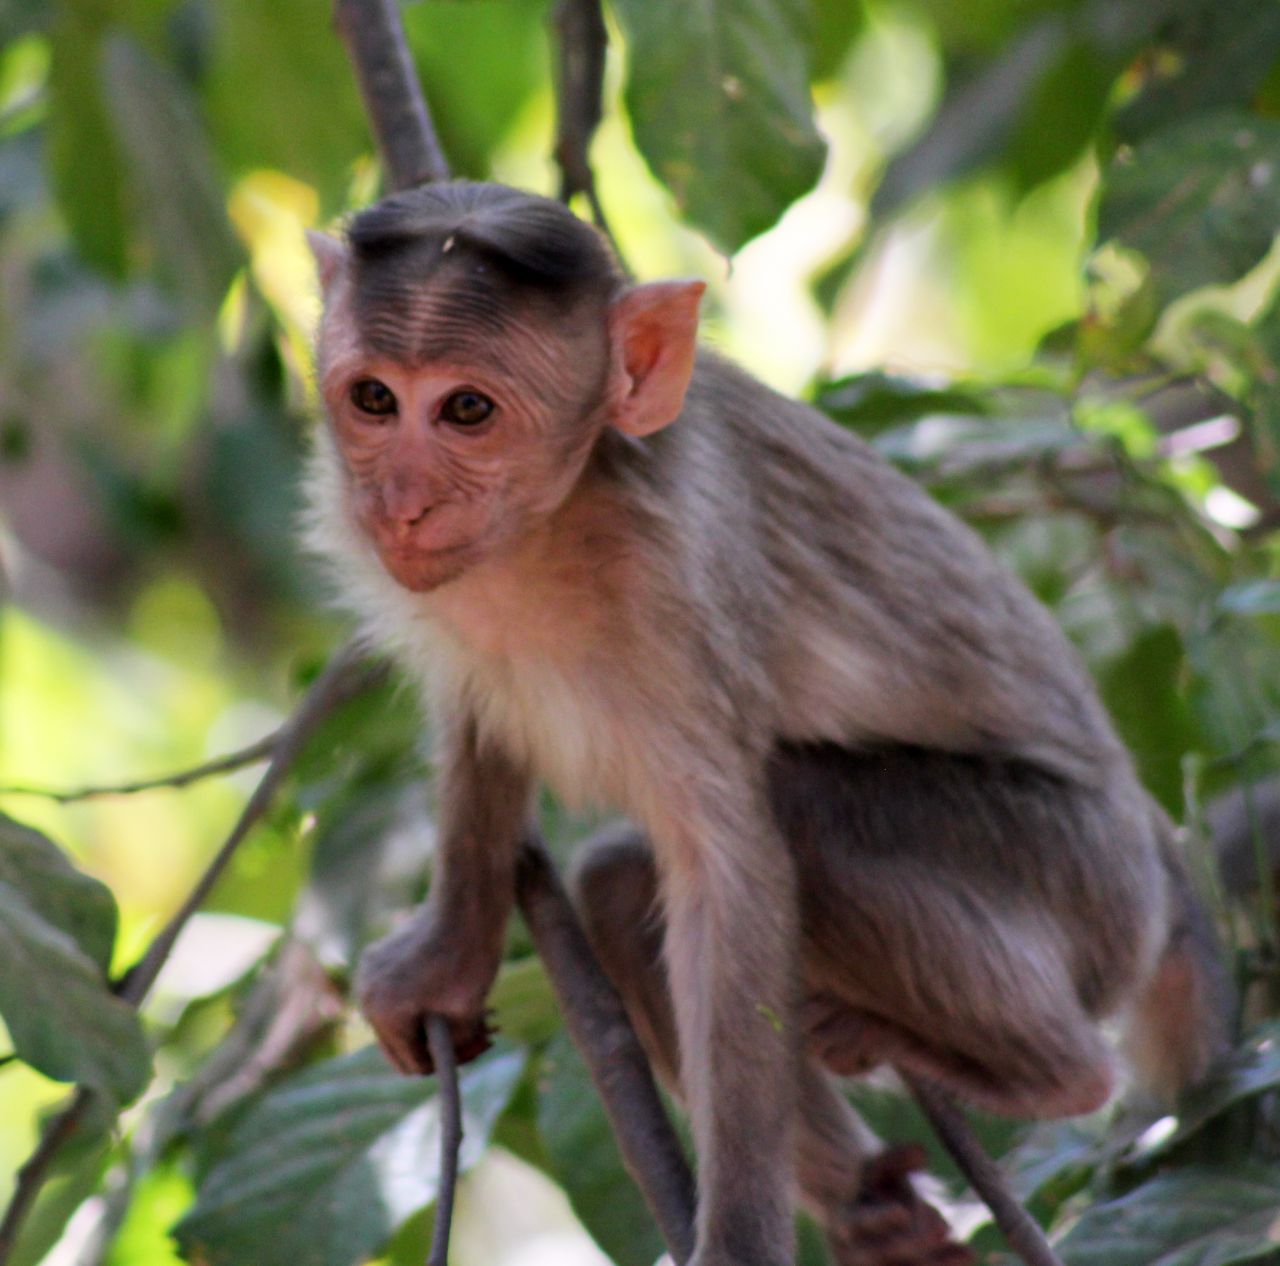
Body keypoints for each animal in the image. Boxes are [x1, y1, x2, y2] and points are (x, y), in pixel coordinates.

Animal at [302, 180, 1228, 1264]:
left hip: (1078, 879)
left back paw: (1048, 1075)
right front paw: (447, 955)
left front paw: (739, 1240)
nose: (398, 501)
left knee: (798, 816)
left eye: (466, 410)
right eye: (374, 400)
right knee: (621, 884)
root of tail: (1154, 847)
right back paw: (872, 1204)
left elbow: (733, 867)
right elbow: (479, 722)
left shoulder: (679, 584)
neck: (557, 518)